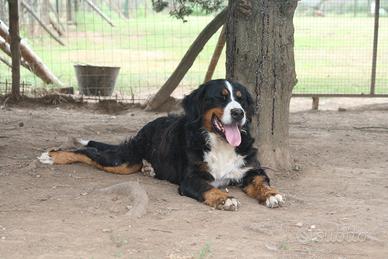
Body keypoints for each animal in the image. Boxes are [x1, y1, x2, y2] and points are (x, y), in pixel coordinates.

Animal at [38, 79, 282, 211]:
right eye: (220, 97)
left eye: (240, 99)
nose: (239, 113)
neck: (220, 144)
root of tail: (144, 128)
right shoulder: (191, 179)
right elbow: (209, 188)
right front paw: (224, 199)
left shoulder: (251, 169)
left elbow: (261, 181)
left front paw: (271, 194)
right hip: (123, 162)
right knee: (87, 151)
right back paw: (53, 156)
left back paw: (150, 169)